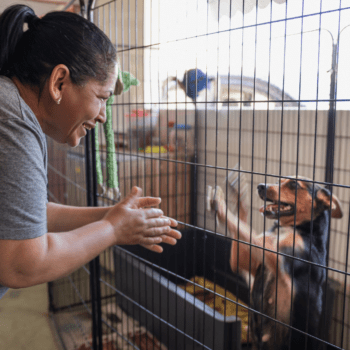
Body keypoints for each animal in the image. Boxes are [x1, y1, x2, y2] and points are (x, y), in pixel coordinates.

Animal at [211, 176, 342, 350]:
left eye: (293, 184)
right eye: (279, 181)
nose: (260, 186)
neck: (290, 228)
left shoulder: (277, 256)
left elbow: (247, 232)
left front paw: (220, 205)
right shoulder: (240, 260)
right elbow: (243, 225)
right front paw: (238, 195)